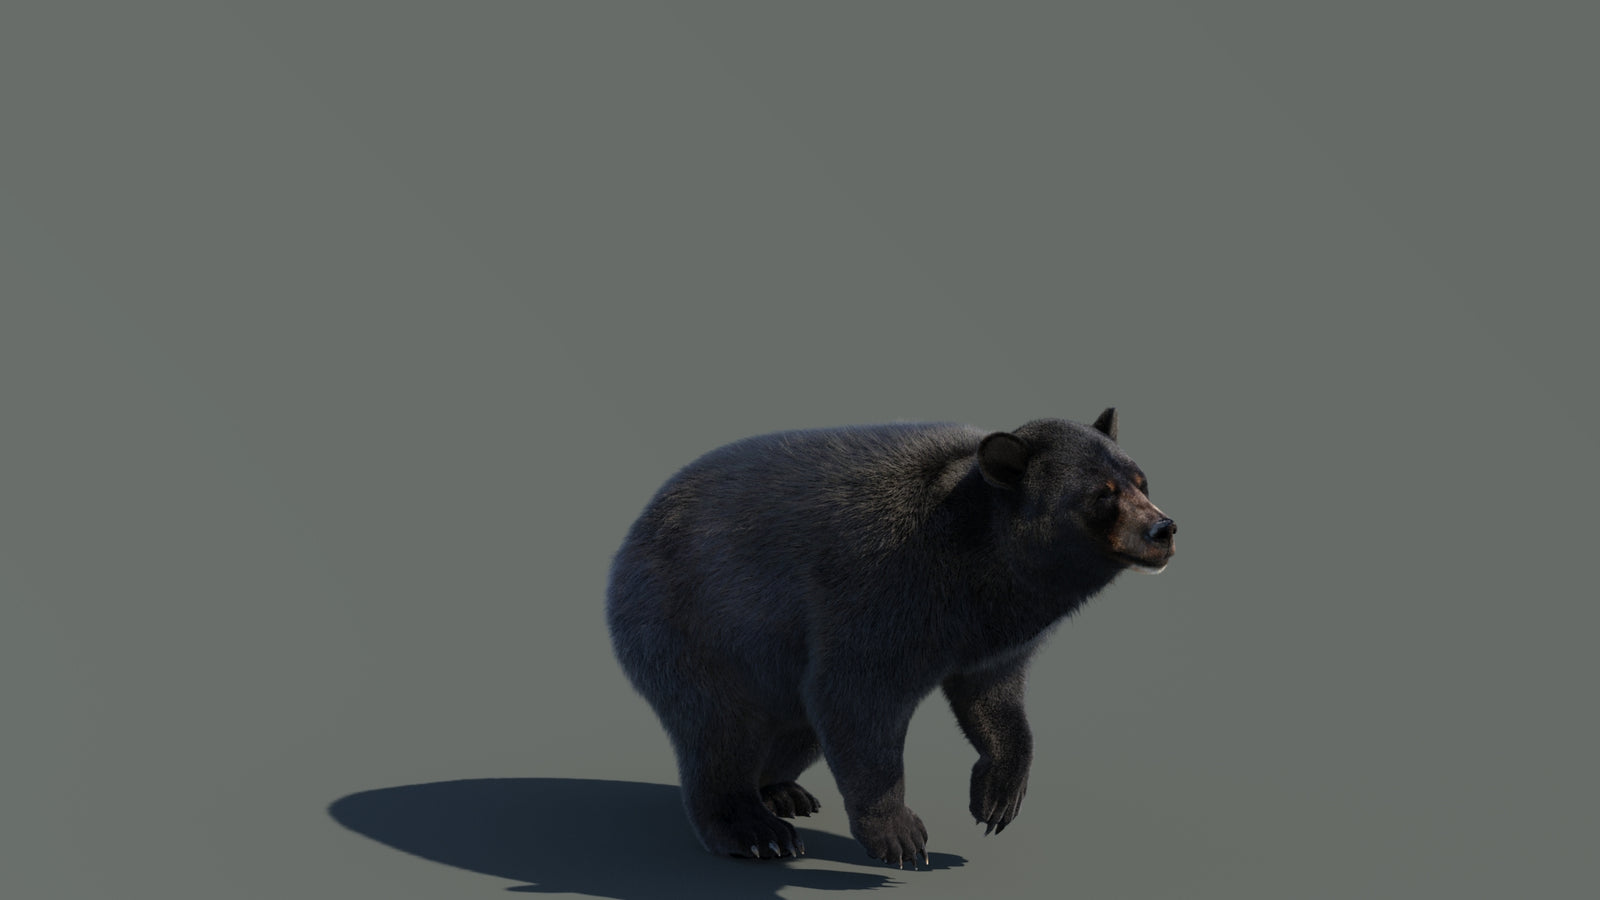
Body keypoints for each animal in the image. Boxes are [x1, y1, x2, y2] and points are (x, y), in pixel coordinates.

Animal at [605, 409, 1176, 867]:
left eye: (1141, 480)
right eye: (1102, 495)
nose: (1164, 529)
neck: (979, 560)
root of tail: (633, 531)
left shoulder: (993, 632)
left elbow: (992, 694)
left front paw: (997, 797)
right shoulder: (883, 586)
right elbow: (856, 695)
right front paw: (899, 835)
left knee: (793, 729)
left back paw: (781, 791)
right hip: (690, 622)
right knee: (720, 728)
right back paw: (755, 830)